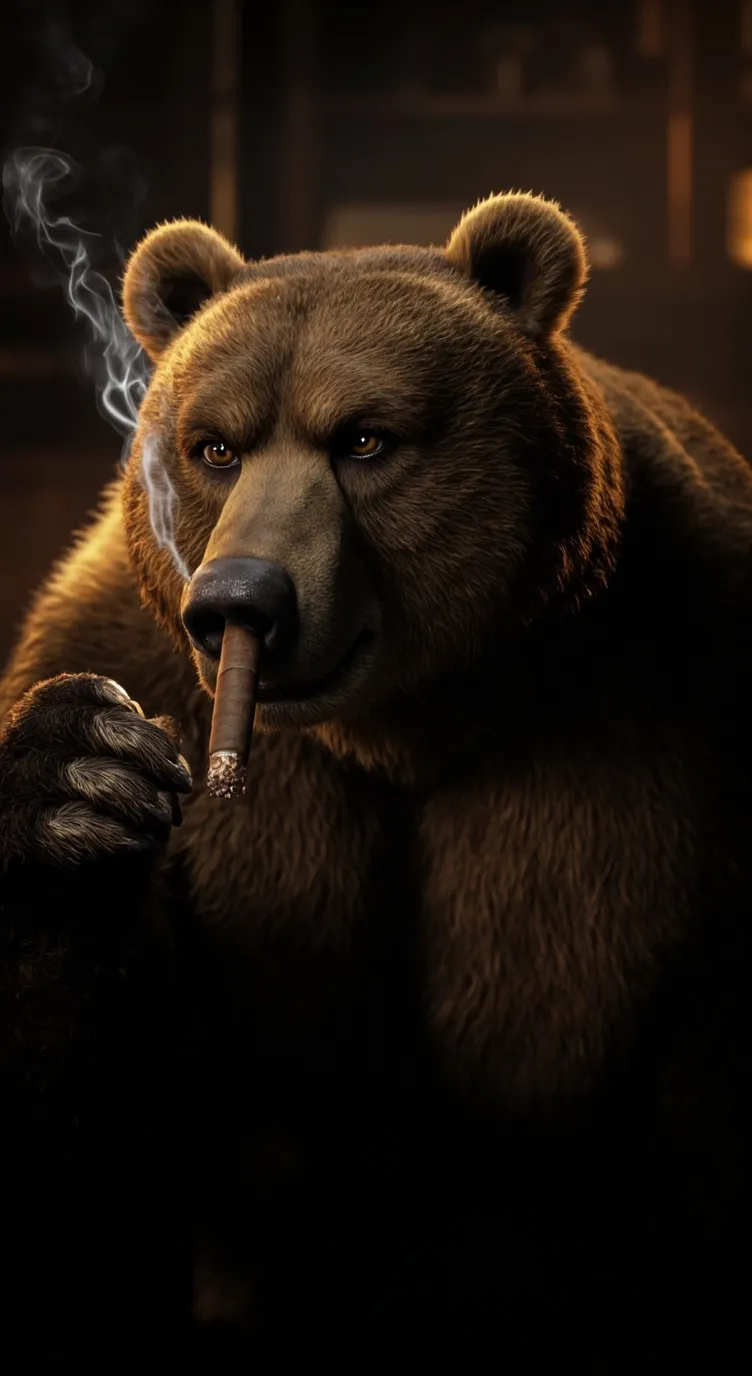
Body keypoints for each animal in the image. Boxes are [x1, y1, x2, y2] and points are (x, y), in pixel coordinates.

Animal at [1, 190, 751, 1368]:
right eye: (215, 446)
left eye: (364, 437)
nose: (242, 598)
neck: (404, 728)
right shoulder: (140, 664)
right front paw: (78, 782)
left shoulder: (665, 745)